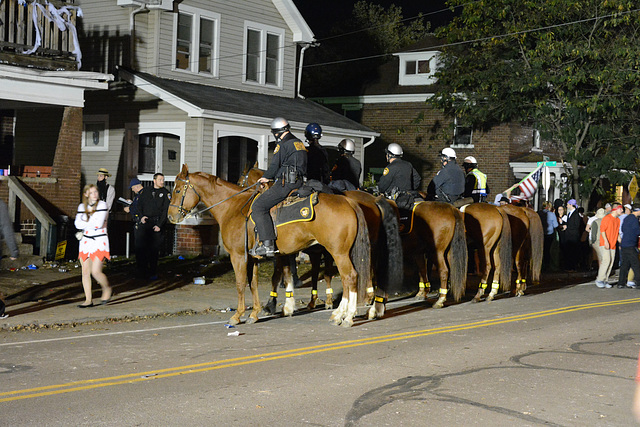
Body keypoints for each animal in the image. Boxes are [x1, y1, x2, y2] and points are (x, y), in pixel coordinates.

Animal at [168, 165, 372, 328]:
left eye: (177, 190)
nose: (171, 216)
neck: (232, 208)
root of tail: (348, 201)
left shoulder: (238, 256)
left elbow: (241, 283)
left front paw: (237, 315)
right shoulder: (253, 258)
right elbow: (253, 283)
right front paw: (254, 313)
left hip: (338, 253)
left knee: (350, 277)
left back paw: (347, 316)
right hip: (343, 252)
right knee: (348, 278)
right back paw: (341, 313)